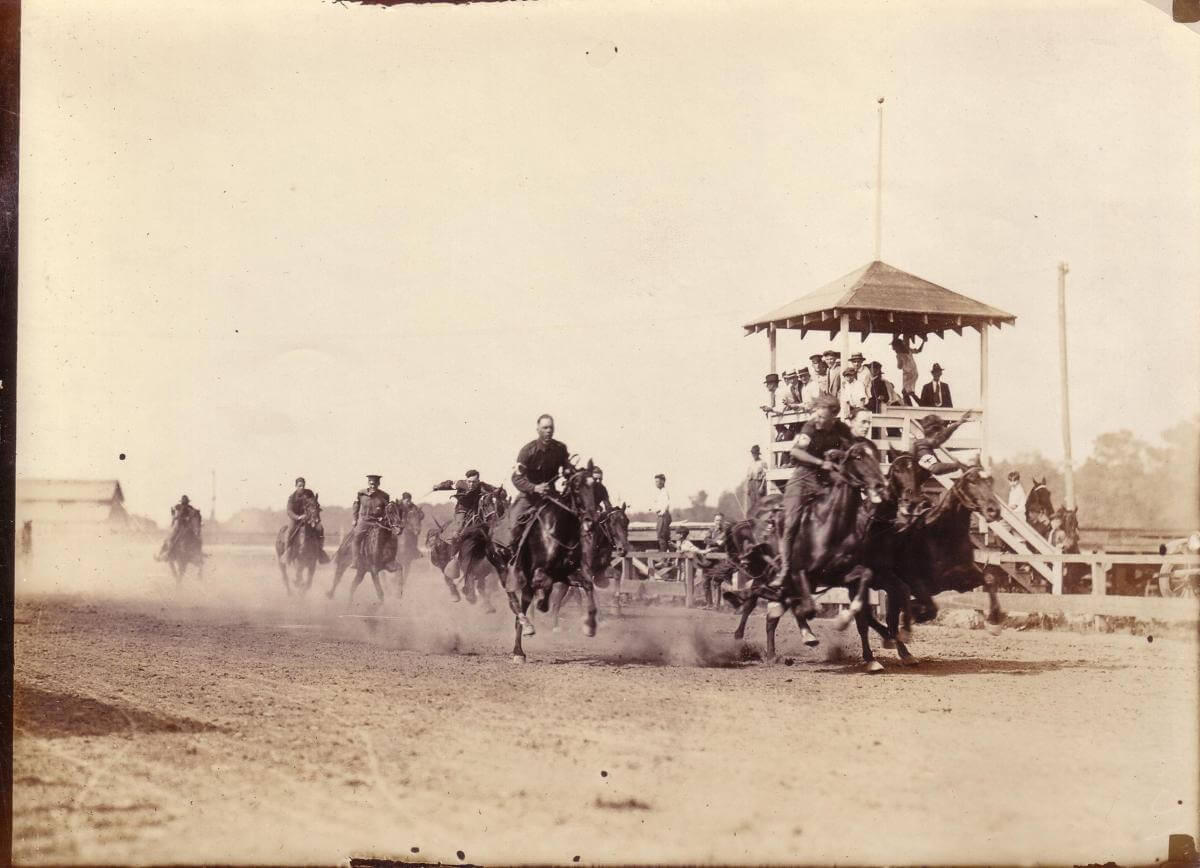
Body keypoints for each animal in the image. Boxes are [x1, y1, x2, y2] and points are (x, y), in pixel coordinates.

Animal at [506, 465, 600, 662]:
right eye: (576, 487)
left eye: (595, 486)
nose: (591, 520)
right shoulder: (539, 573)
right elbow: (545, 584)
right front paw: (542, 603)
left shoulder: (566, 572)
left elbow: (588, 584)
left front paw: (589, 626)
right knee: (517, 603)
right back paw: (520, 647)